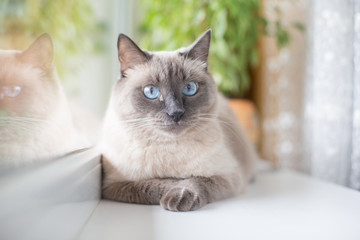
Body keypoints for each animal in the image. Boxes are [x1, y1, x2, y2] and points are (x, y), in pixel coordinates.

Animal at [98, 30, 256, 212]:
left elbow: (195, 179)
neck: (168, 146)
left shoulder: (228, 176)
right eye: (151, 91)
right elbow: (155, 184)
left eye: (189, 88)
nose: (176, 113)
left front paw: (179, 196)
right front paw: (172, 190)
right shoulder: (115, 185)